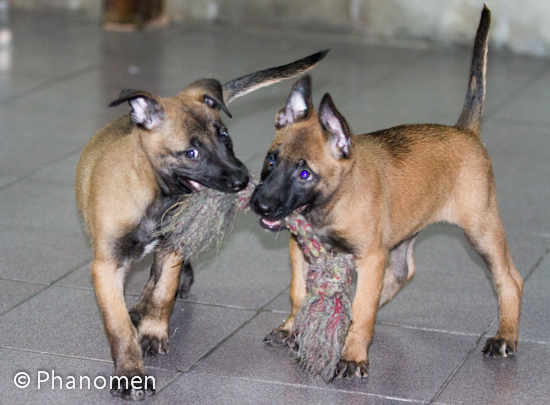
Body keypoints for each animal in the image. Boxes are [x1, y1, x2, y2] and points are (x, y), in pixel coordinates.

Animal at [75, 50, 328, 400]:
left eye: (225, 137)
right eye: (191, 153)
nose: (244, 181)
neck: (155, 196)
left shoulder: (173, 246)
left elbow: (163, 292)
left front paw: (153, 331)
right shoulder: (105, 267)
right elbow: (119, 326)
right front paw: (130, 374)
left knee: (159, 276)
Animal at [251, 6, 523, 380]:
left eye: (305, 174)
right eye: (271, 160)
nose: (260, 205)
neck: (332, 203)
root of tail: (465, 131)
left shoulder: (370, 256)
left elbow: (364, 307)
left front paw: (353, 356)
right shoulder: (300, 249)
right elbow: (299, 291)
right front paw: (292, 328)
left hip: (481, 230)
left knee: (510, 279)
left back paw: (505, 336)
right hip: (403, 235)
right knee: (401, 273)